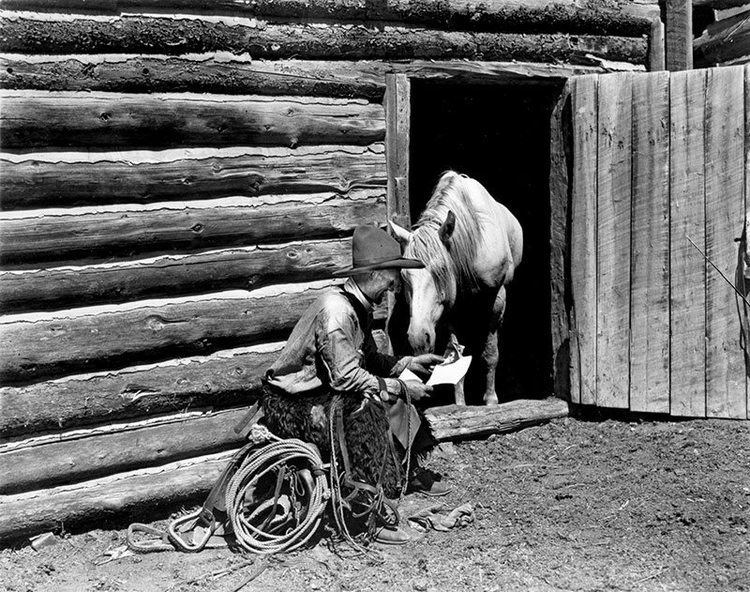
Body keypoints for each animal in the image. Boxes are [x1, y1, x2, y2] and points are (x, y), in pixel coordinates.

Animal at [388, 169, 524, 404]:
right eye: (404, 276)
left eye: (442, 269)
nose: (418, 339)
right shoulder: (451, 308)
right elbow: (455, 355)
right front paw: (460, 403)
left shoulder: (497, 298)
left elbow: (490, 352)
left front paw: (491, 400)